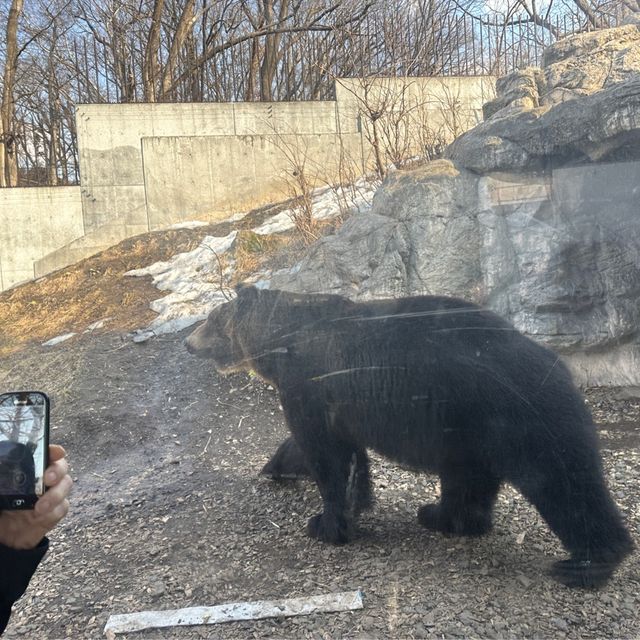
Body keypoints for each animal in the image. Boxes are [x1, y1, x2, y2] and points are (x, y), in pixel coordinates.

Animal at [186, 288, 636, 588]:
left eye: (210, 318)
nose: (188, 342)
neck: (279, 342)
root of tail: (558, 365)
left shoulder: (310, 384)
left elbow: (324, 453)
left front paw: (323, 523)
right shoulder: (340, 401)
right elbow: (346, 454)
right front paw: (345, 497)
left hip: (516, 418)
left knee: (563, 483)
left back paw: (588, 563)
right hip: (468, 430)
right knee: (468, 480)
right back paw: (441, 516)